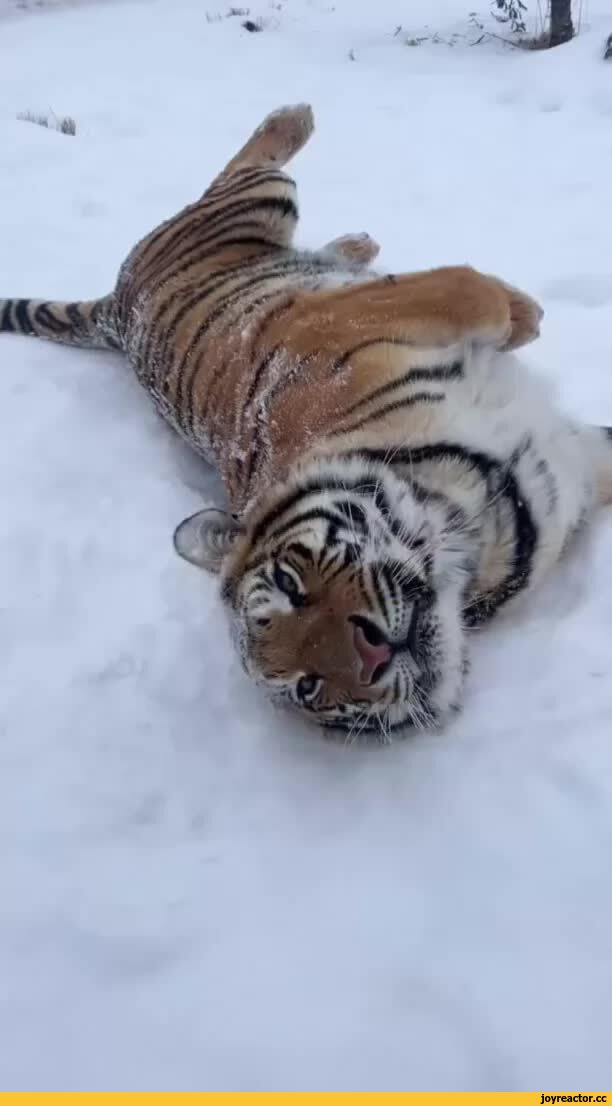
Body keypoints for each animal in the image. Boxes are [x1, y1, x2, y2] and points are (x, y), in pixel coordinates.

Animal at [2, 103, 611, 741]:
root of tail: (116, 309)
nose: (372, 655)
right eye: (309, 688)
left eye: (290, 586)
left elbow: (471, 290)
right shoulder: (577, 460)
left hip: (261, 202)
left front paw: (526, 314)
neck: (462, 525)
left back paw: (300, 126)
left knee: (248, 165)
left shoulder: (340, 315)